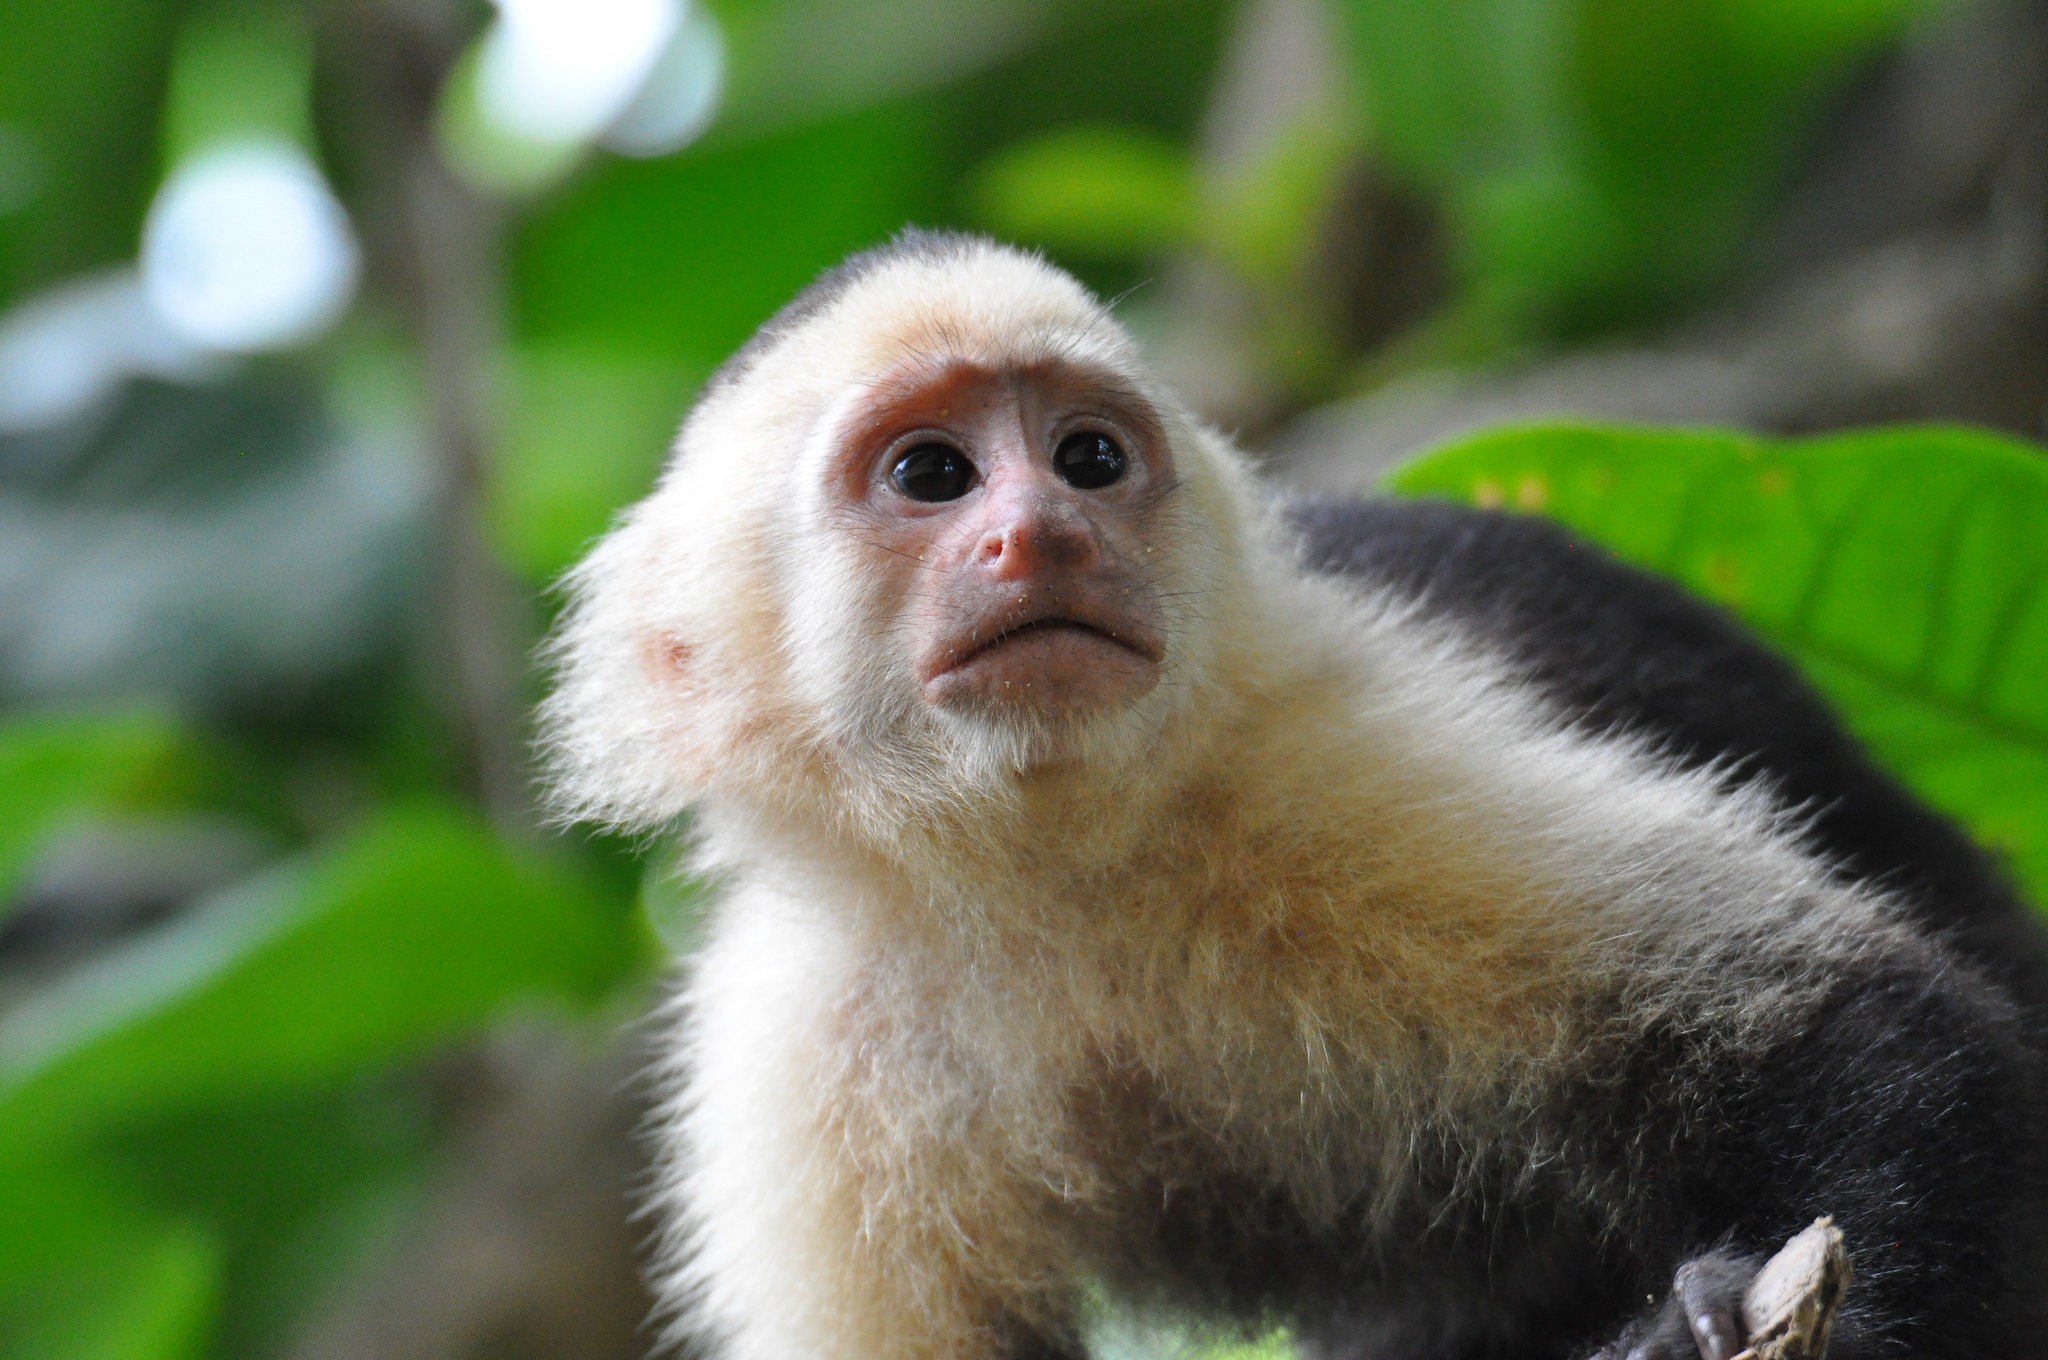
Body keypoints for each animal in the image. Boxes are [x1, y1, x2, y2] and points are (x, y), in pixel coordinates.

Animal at [540, 228, 2048, 1351]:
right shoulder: (797, 1051)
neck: (1040, 866)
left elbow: (1869, 1029)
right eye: (931, 473)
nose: (1045, 533)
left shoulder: (1332, 766)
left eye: (1089, 458)